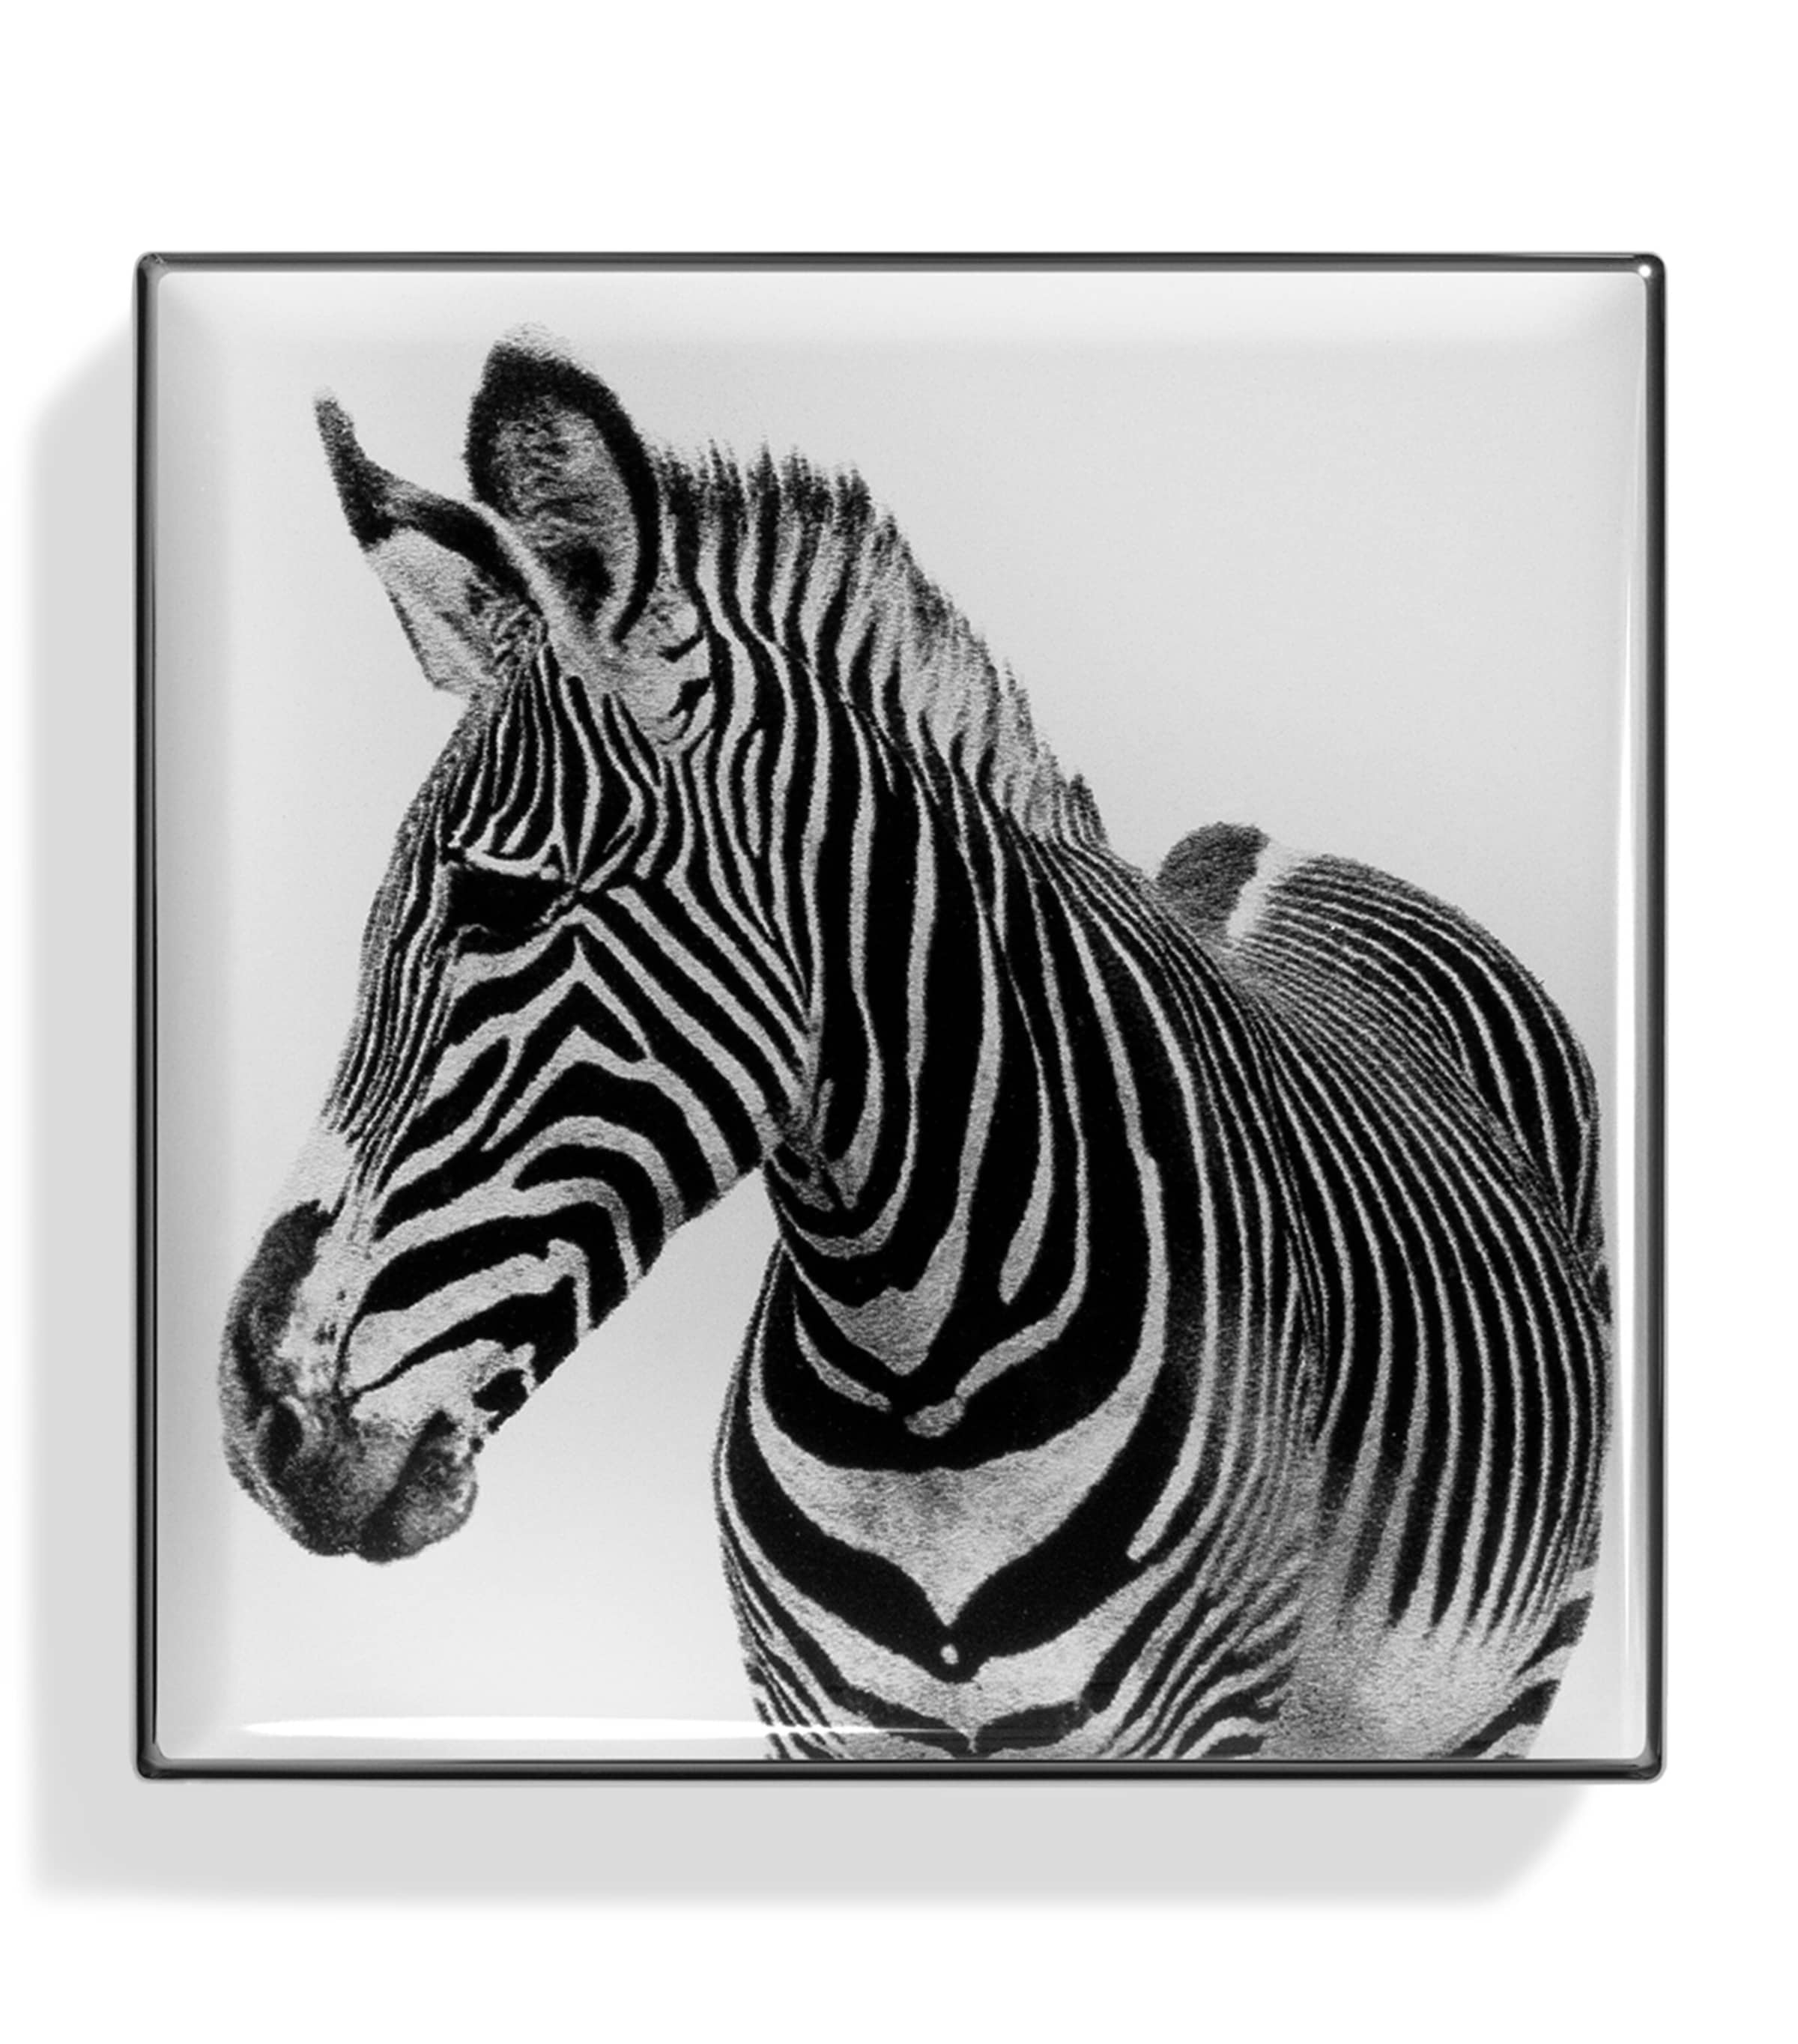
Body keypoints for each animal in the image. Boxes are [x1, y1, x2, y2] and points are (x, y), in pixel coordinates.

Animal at [221, 332, 1610, 1762]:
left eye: (501, 907)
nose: (257, 1422)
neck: (922, 1378)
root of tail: (1279, 843)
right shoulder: (815, 1724)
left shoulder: (1200, 1718)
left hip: (1500, 1688)